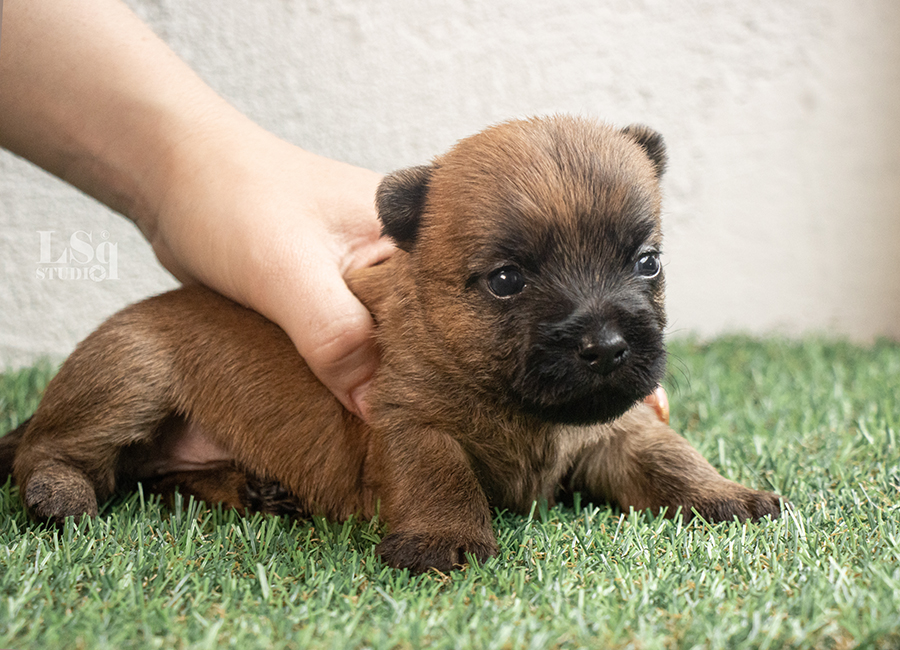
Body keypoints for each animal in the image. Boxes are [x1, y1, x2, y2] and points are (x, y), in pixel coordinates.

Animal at [1, 116, 780, 572]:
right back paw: (58, 493)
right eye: (506, 280)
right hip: (130, 375)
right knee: (55, 450)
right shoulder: (411, 424)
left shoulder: (621, 427)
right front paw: (441, 542)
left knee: (155, 477)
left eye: (647, 263)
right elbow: (441, 476)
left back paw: (253, 488)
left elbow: (672, 459)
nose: (611, 346)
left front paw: (727, 495)